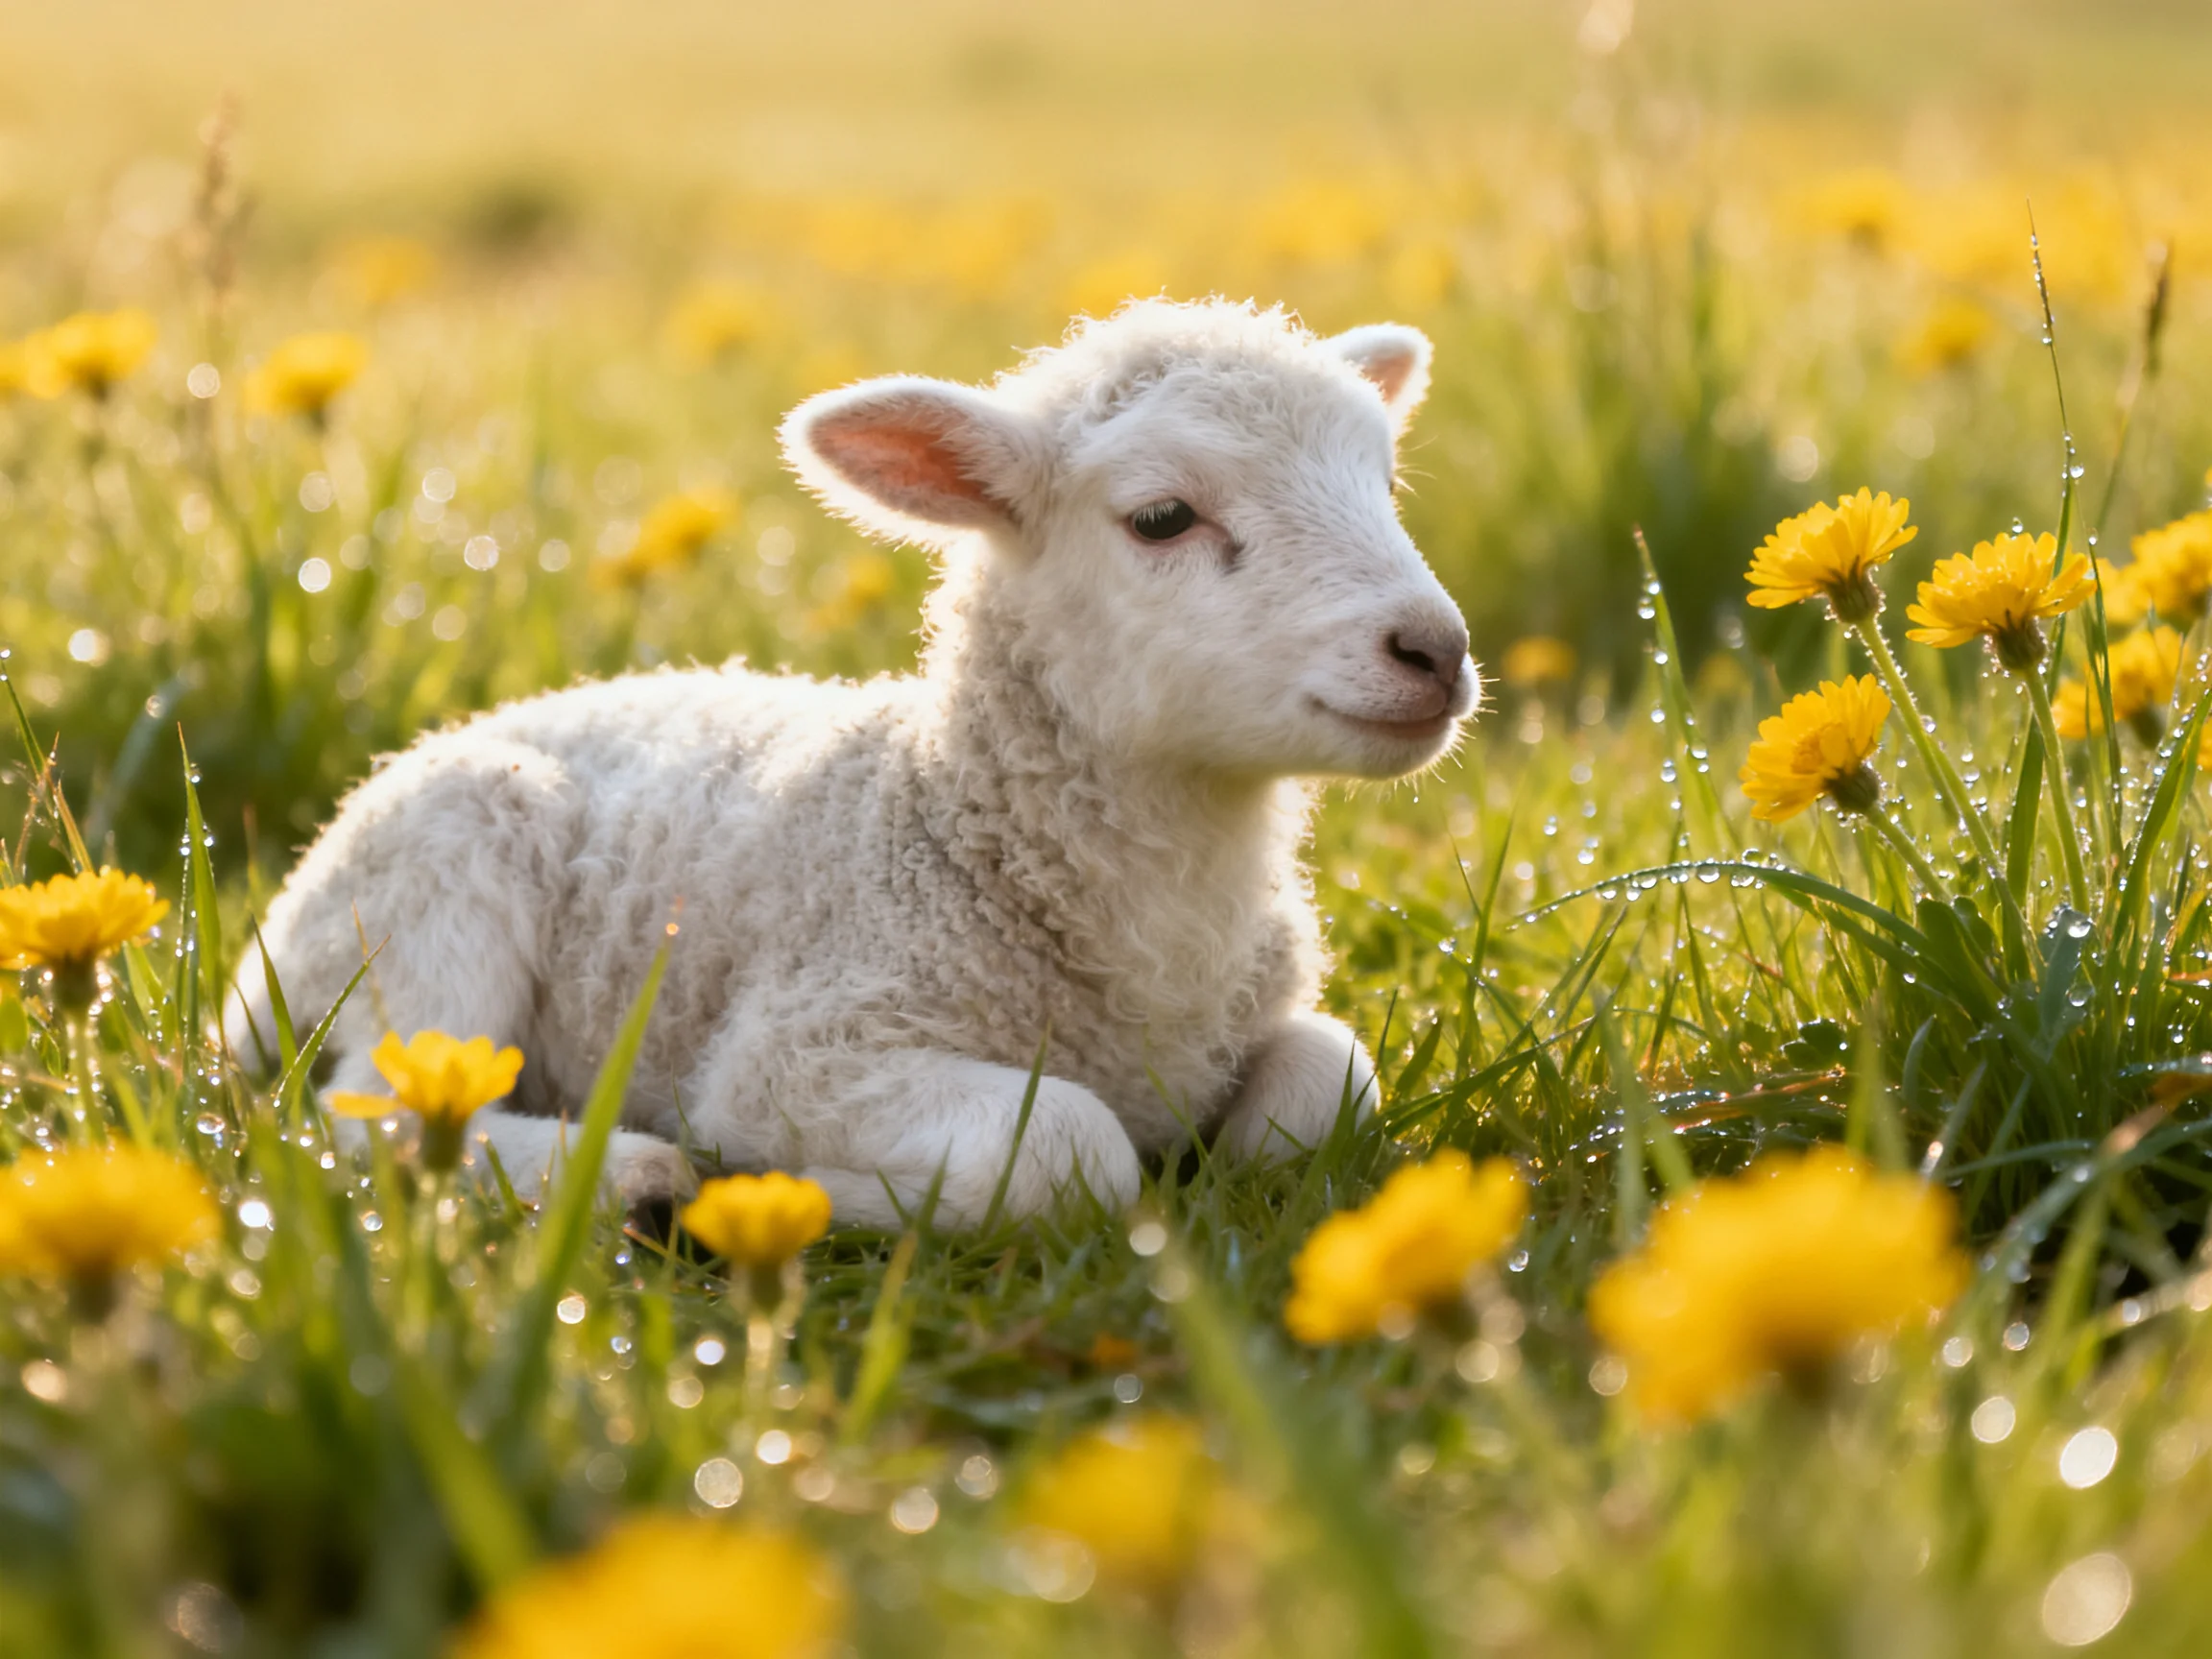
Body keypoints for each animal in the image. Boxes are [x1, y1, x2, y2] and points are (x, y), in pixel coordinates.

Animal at [224, 299, 1478, 1229]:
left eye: (1385, 484)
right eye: (1163, 517)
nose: (1436, 649)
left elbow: (1323, 1091)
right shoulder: (801, 1046)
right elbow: (1073, 1149)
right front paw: (800, 1189)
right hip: (438, 878)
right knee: (375, 1111)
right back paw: (630, 1179)